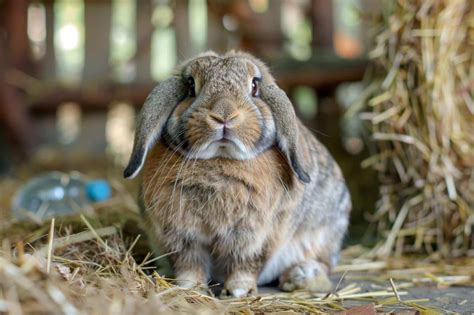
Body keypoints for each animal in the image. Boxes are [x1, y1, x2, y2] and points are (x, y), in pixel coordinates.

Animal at [124, 50, 350, 298]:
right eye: (191, 86)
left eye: (254, 86)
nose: (224, 115)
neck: (220, 158)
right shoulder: (180, 235)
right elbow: (189, 265)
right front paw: (189, 288)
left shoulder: (255, 237)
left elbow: (245, 265)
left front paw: (238, 292)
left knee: (323, 264)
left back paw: (301, 276)